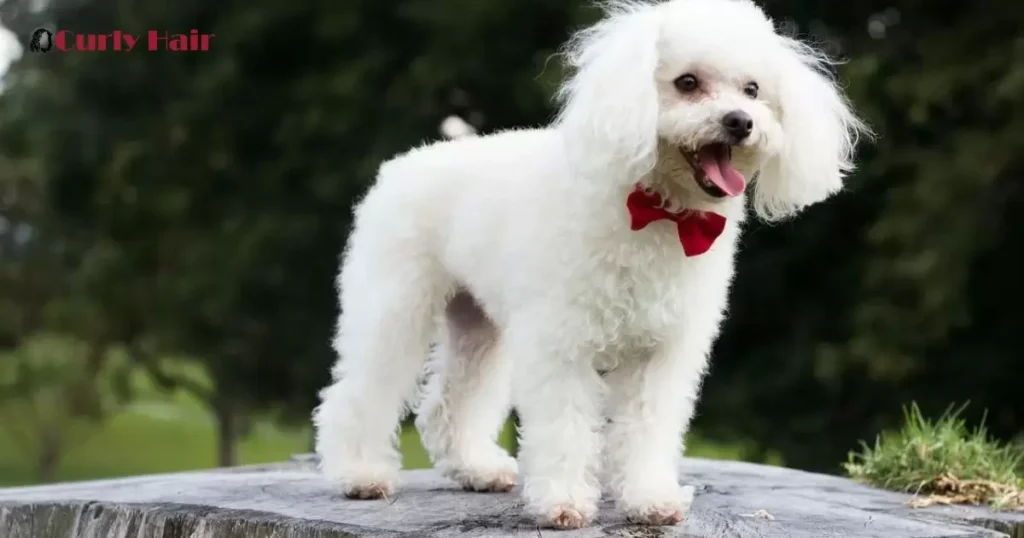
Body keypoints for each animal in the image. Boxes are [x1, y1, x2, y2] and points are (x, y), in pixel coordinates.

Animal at [315, 0, 868, 528]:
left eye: (753, 90)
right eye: (687, 83)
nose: (740, 121)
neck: (656, 210)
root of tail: (400, 165)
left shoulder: (659, 353)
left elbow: (647, 429)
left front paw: (650, 500)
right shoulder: (561, 346)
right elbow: (565, 428)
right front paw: (563, 504)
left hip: (478, 324)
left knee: (448, 404)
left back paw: (477, 469)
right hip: (395, 306)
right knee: (360, 392)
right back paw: (360, 474)